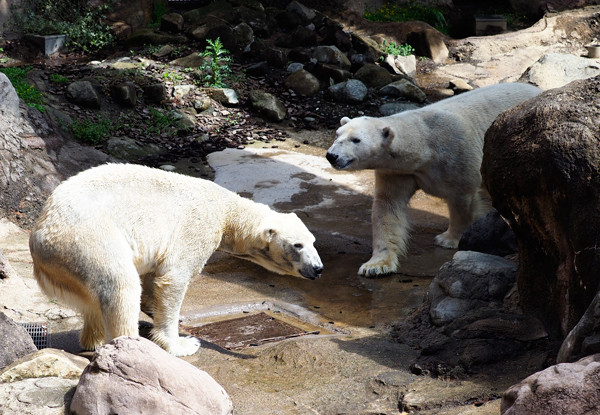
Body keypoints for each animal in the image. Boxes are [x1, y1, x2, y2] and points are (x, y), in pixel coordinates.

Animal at [29, 164, 324, 356]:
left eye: (313, 241)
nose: (318, 269)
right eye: (297, 245)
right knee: (120, 284)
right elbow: (174, 278)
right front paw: (182, 344)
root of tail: (39, 235)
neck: (227, 211)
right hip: (86, 239)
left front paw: (152, 309)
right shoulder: (197, 227)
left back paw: (95, 340)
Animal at [326, 81, 540, 278]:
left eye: (356, 140)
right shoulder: (398, 171)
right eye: (337, 135)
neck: (424, 146)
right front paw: (375, 266)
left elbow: (462, 200)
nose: (332, 155)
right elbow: (387, 207)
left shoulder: (457, 157)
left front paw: (449, 239)